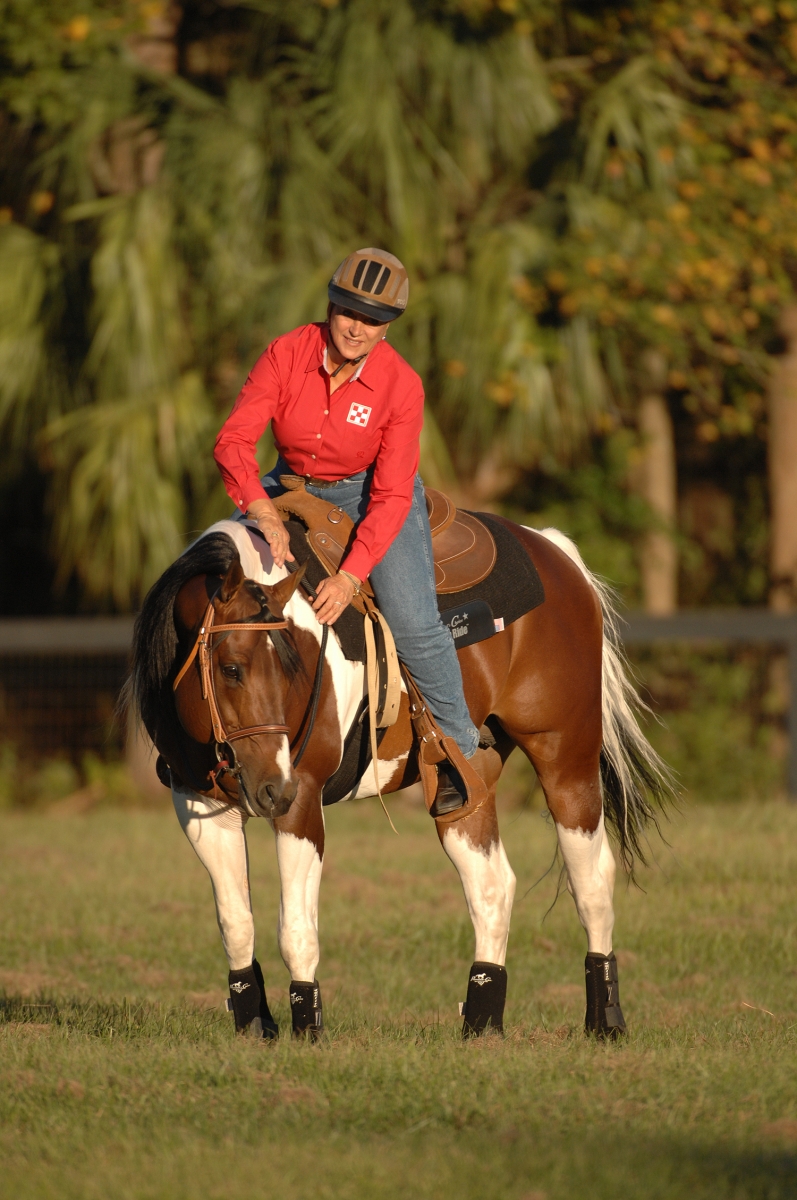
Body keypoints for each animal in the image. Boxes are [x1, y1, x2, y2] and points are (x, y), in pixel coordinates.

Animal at [128, 513, 672, 1040]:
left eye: (292, 670)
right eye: (232, 668)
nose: (272, 790)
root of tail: (553, 550)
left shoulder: (302, 805)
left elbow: (296, 930)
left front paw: (307, 1031)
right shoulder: (200, 806)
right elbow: (236, 922)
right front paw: (255, 1028)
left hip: (565, 758)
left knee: (591, 880)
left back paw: (605, 1021)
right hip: (466, 786)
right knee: (491, 886)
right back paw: (481, 1026)